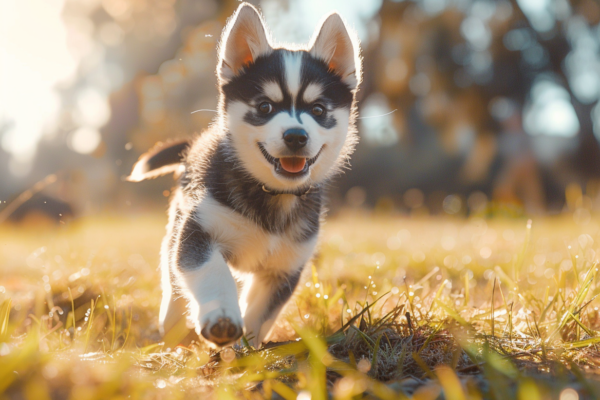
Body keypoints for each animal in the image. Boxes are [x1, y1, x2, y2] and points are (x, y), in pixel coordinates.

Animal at [127, 3, 360, 346]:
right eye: (264, 107)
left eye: (318, 110)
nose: (296, 136)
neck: (270, 194)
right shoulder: (199, 231)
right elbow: (212, 272)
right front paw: (221, 317)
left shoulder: (285, 267)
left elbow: (261, 314)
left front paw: (247, 347)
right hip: (178, 222)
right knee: (171, 272)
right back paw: (173, 321)